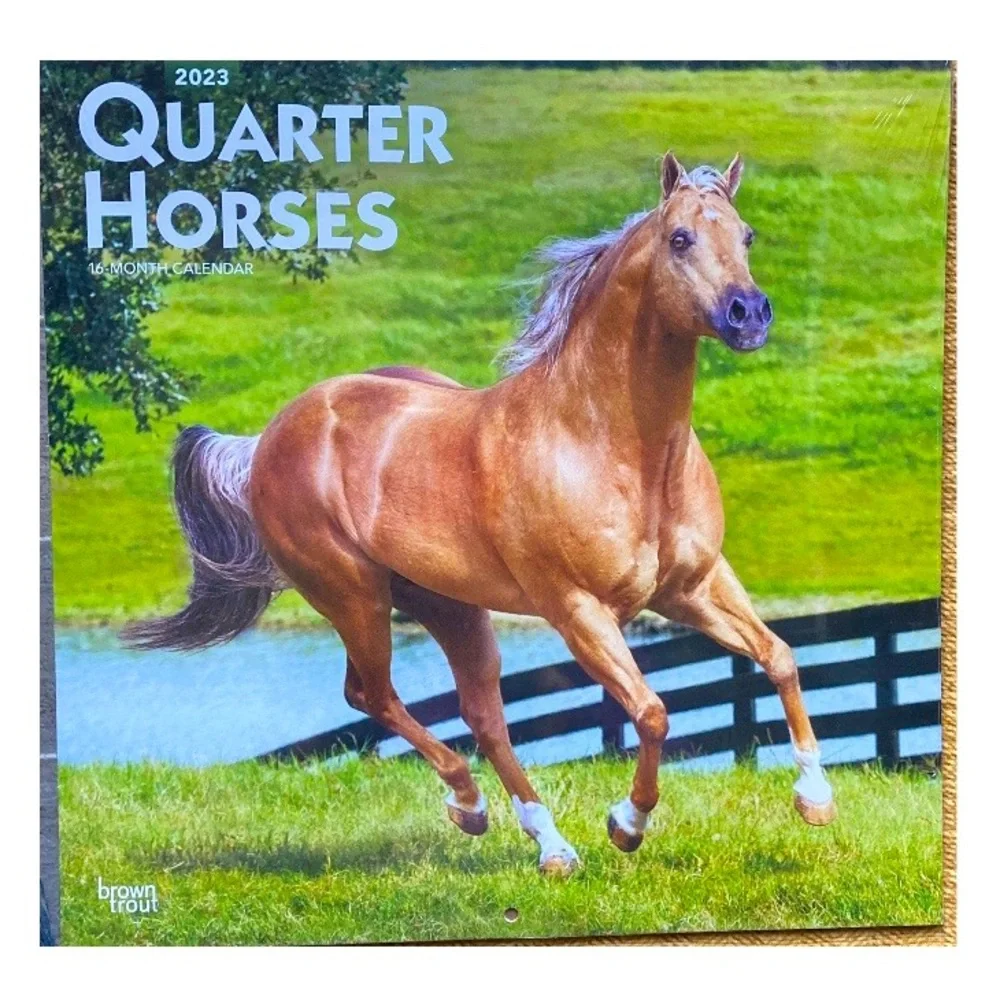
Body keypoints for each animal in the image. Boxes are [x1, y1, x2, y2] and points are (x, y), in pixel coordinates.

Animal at [123, 152, 836, 875]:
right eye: (680, 238)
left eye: (746, 236)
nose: (749, 314)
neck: (610, 445)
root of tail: (266, 440)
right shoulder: (578, 609)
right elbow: (653, 712)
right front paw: (625, 824)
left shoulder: (693, 586)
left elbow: (780, 656)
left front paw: (815, 799)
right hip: (354, 596)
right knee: (375, 696)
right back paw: (472, 806)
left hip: (449, 605)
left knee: (480, 715)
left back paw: (545, 843)